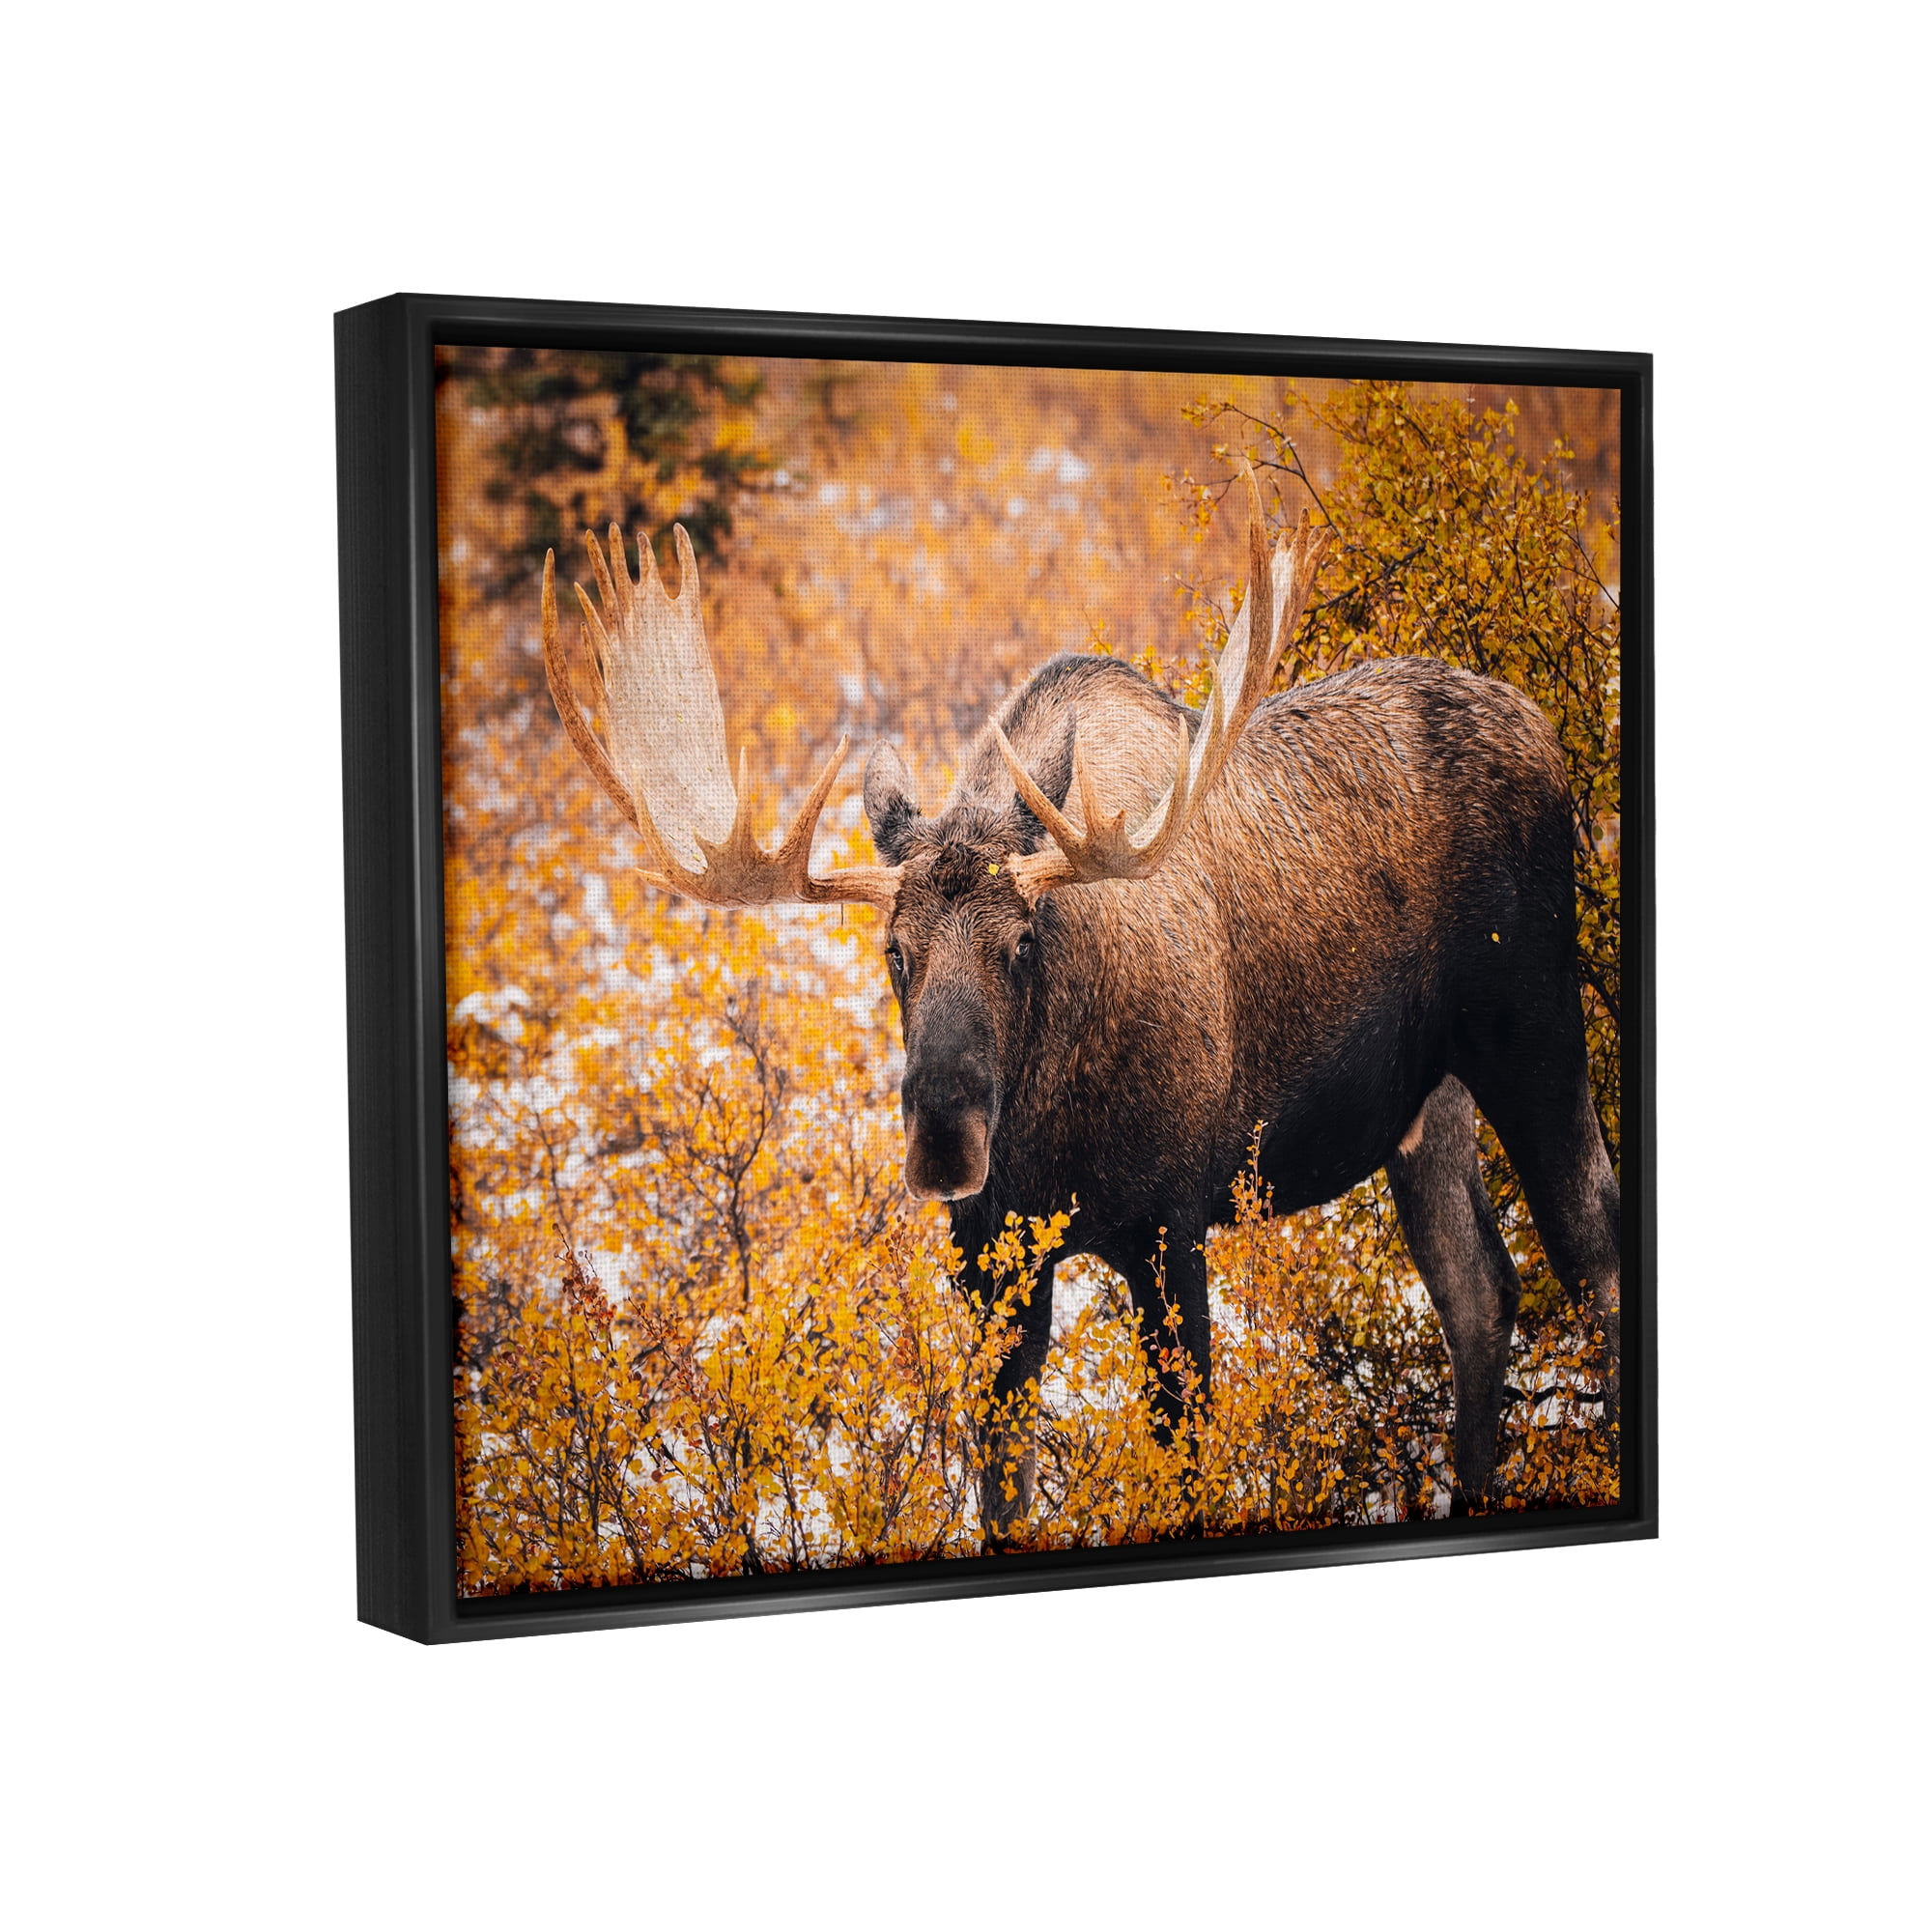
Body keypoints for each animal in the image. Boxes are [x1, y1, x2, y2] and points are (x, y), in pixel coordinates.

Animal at [538, 495, 1621, 1534]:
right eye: (894, 951)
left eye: (1023, 943)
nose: (944, 1136)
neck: (1047, 1138)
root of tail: (1542, 726)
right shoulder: (989, 1260)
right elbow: (1002, 1488)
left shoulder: (1171, 1226)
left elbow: (1185, 1460)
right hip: (1427, 1102)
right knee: (1477, 1291)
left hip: (1533, 1025)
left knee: (1592, 1251)